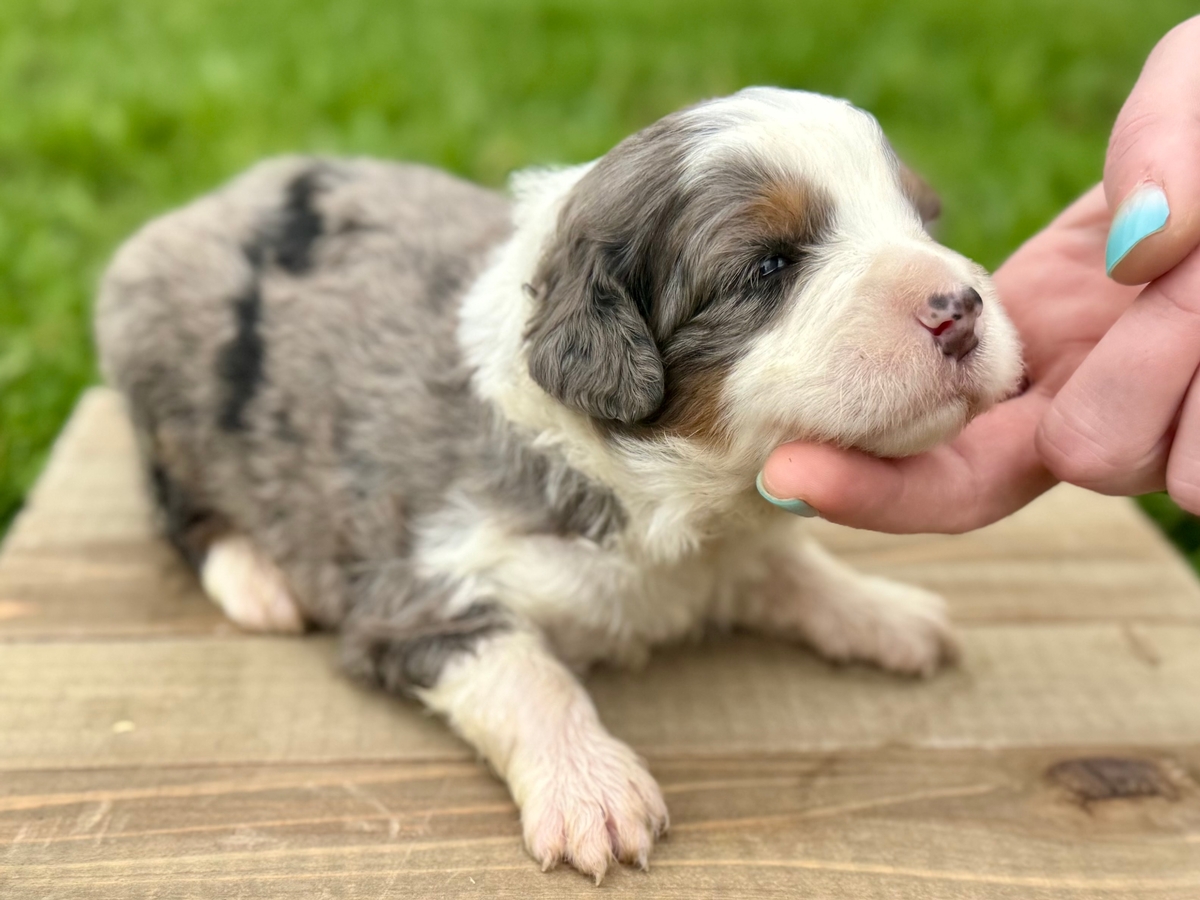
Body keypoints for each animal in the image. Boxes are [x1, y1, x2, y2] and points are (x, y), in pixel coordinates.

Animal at [95, 87, 1022, 881]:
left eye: (922, 218)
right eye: (768, 267)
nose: (959, 306)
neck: (676, 502)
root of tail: (219, 199)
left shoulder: (727, 544)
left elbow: (785, 565)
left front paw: (882, 611)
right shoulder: (419, 588)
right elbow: (526, 672)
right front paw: (593, 792)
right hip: (154, 364)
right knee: (176, 502)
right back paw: (255, 577)